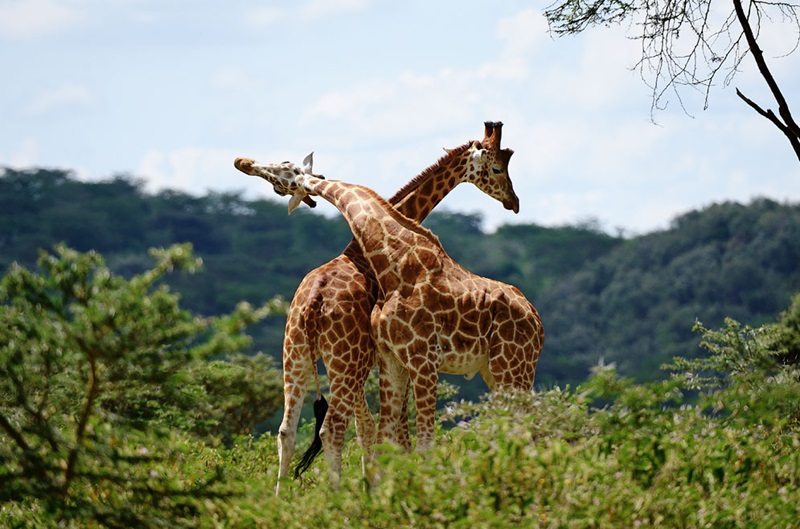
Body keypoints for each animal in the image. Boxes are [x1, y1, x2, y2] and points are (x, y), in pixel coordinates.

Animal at [233, 122, 520, 490]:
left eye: (282, 168)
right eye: (497, 168)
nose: (513, 201)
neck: (357, 251)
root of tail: (313, 304)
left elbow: (368, 428)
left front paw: (373, 484)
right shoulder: (387, 358)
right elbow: (392, 430)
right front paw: (380, 484)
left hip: (294, 355)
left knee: (286, 431)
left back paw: (282, 496)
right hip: (344, 362)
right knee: (331, 428)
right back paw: (335, 496)